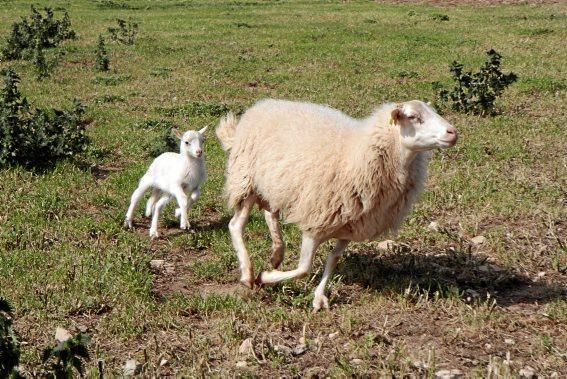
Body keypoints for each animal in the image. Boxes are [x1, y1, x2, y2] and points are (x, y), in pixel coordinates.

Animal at [215, 99, 460, 314]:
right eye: (413, 117)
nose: (453, 133)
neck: (360, 152)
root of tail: (260, 106)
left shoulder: (350, 226)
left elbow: (333, 260)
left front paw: (318, 298)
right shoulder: (315, 222)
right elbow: (303, 269)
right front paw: (265, 278)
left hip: (274, 184)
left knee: (270, 213)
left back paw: (276, 253)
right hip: (246, 180)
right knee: (236, 225)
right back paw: (248, 274)